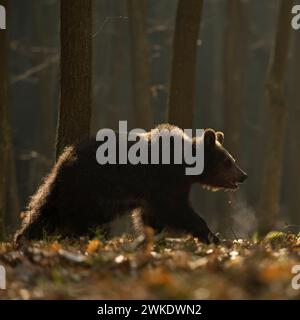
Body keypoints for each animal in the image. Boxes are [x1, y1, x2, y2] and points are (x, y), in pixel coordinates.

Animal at [14, 124, 247, 245]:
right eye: (228, 161)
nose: (243, 175)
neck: (185, 166)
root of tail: (66, 157)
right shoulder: (166, 181)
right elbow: (178, 209)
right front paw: (213, 236)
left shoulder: (153, 192)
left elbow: (150, 216)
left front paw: (151, 236)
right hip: (91, 187)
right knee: (79, 216)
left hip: (69, 187)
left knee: (45, 209)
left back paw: (24, 236)